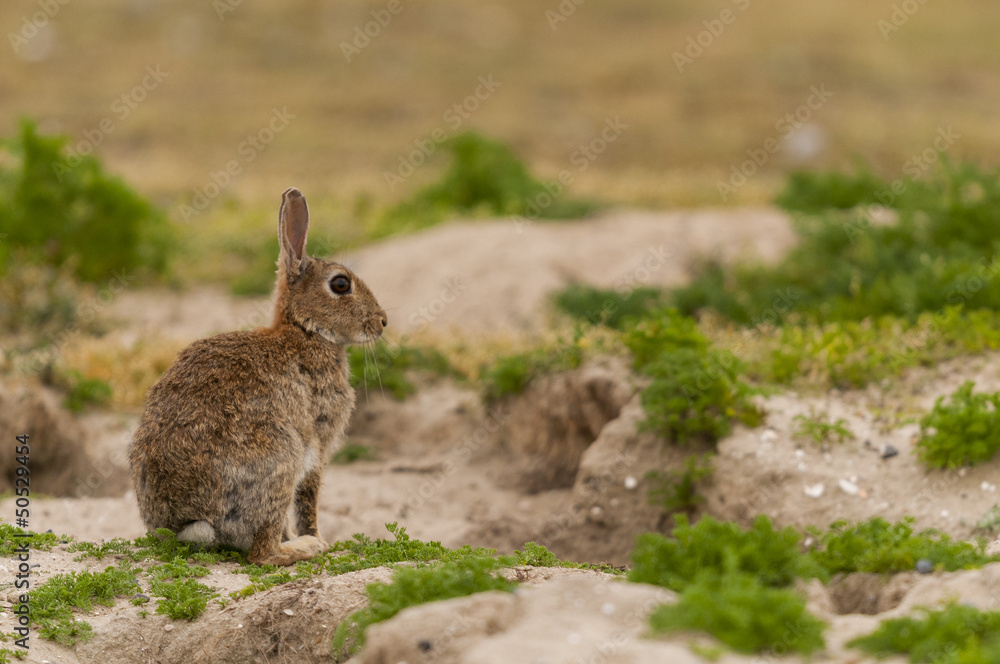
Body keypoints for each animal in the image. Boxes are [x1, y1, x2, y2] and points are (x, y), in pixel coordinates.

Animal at [128, 187, 387, 566]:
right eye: (341, 284)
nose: (382, 322)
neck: (305, 330)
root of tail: (189, 522)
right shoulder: (317, 443)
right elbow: (309, 498)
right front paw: (318, 539)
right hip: (282, 455)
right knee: (263, 553)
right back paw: (303, 547)